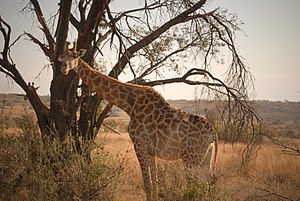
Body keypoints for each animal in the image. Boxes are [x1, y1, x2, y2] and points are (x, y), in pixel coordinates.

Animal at [58, 42, 218, 201]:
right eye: (62, 56)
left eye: (75, 56)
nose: (63, 68)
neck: (130, 104)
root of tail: (213, 134)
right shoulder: (151, 150)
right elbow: (155, 184)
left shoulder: (139, 144)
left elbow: (147, 184)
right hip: (205, 159)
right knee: (209, 184)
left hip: (190, 158)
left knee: (195, 185)